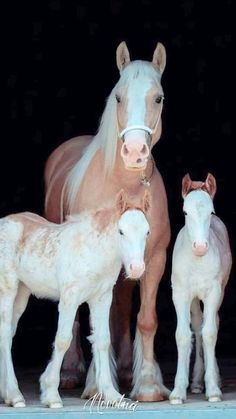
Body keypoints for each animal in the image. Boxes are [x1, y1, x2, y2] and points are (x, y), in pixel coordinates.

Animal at [0, 189, 151, 406]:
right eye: (121, 231)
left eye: (147, 232)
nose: (136, 269)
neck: (94, 251)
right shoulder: (69, 299)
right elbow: (63, 339)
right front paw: (51, 394)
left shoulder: (102, 299)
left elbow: (103, 340)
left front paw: (111, 394)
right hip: (8, 289)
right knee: (4, 334)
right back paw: (15, 395)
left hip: (22, 292)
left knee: (9, 332)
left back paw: (6, 393)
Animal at [43, 42, 170, 404]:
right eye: (118, 97)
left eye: (158, 98)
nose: (135, 151)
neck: (122, 185)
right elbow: (90, 323)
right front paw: (96, 385)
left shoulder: (155, 259)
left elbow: (145, 319)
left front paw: (148, 385)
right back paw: (71, 373)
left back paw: (125, 370)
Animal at [170, 172, 232, 406]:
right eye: (185, 212)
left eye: (211, 211)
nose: (200, 247)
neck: (196, 261)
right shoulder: (180, 294)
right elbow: (183, 335)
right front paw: (178, 392)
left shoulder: (213, 292)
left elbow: (210, 333)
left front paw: (213, 389)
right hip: (194, 299)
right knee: (197, 325)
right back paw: (196, 382)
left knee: (210, 324)